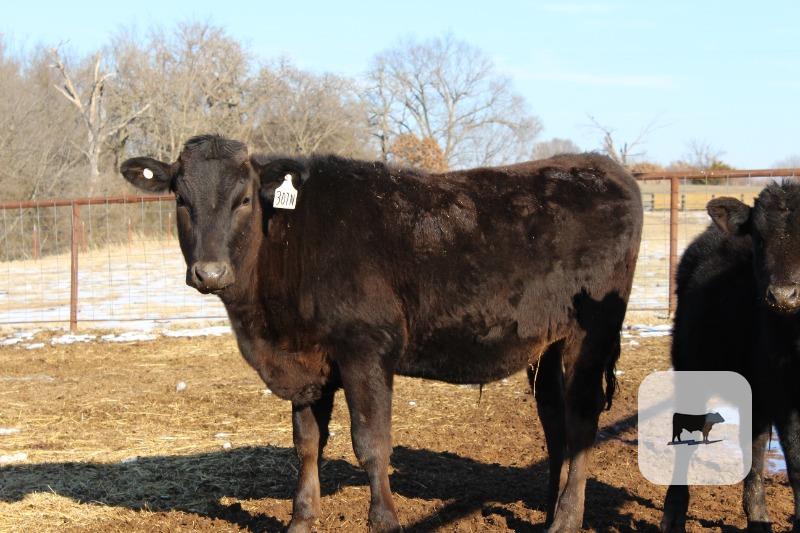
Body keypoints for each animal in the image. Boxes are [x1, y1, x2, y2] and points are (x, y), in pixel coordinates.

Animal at [120, 134, 643, 532]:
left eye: (244, 200)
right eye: (181, 199)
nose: (209, 272)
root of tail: (601, 165)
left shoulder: (366, 349)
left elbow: (371, 443)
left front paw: (384, 520)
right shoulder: (307, 362)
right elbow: (306, 443)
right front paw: (301, 520)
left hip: (588, 337)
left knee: (581, 422)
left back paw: (566, 520)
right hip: (547, 345)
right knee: (555, 423)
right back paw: (550, 510)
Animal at [662, 183, 800, 532]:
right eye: (759, 238)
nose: (783, 295)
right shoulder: (785, 398)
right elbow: (797, 464)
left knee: (753, 448)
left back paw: (759, 518)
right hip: (691, 367)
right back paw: (673, 515)